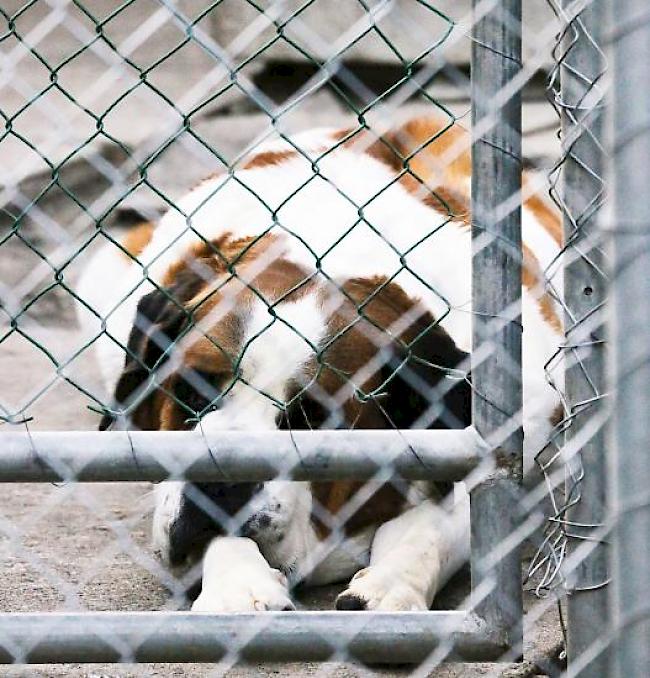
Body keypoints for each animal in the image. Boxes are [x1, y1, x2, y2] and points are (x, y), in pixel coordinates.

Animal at [77, 114, 560, 612]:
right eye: (192, 392)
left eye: (309, 421)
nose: (223, 480)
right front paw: (238, 587)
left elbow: (452, 512)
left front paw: (393, 582)